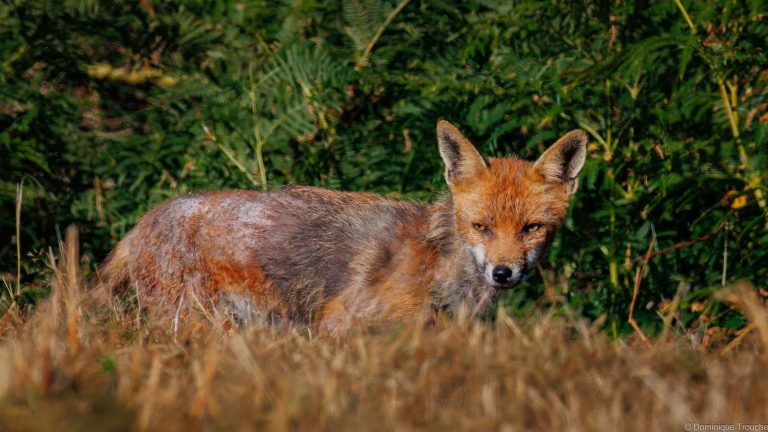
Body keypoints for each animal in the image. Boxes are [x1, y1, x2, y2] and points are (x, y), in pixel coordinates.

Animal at [95, 121, 587, 333]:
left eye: (531, 228)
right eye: (480, 226)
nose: (503, 273)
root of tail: (146, 219)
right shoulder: (339, 322)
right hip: (197, 323)